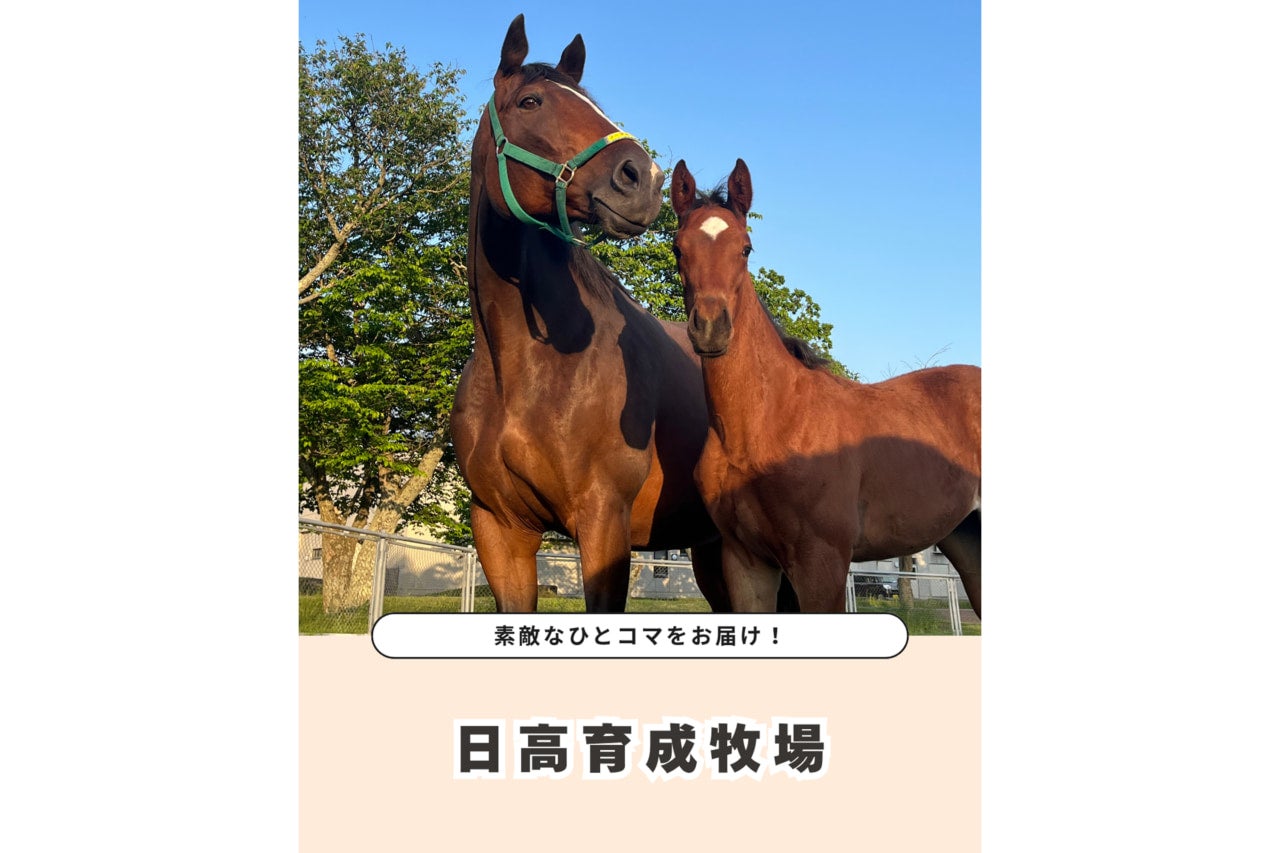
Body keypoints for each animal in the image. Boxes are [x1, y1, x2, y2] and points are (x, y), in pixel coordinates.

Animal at [449, 15, 735, 613]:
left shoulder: (604, 523)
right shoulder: (500, 530)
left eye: (593, 104)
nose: (643, 178)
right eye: (530, 101)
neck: (525, 372)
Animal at [669, 158, 983, 616]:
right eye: (678, 249)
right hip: (966, 537)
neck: (767, 423)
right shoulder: (746, 562)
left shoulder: (822, 561)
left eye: (746, 248)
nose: (711, 328)